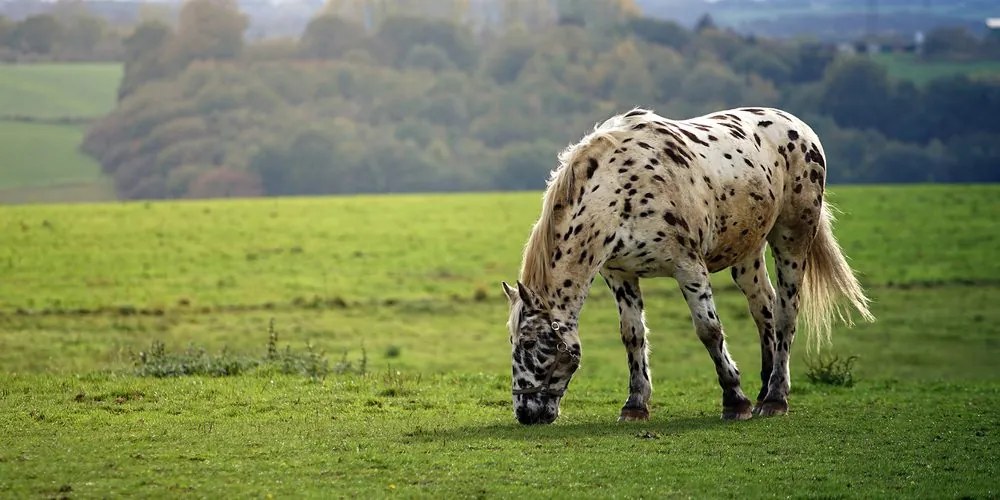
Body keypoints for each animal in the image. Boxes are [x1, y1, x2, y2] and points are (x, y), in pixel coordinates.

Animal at [504, 107, 872, 424]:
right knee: (763, 309)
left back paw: (775, 398)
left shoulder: (689, 268)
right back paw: (764, 388)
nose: (525, 413)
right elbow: (632, 335)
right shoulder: (620, 274)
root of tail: (801, 129)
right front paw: (635, 405)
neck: (620, 191)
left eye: (531, 344)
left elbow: (709, 330)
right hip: (748, 252)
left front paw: (734, 400)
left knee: (785, 313)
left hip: (791, 239)